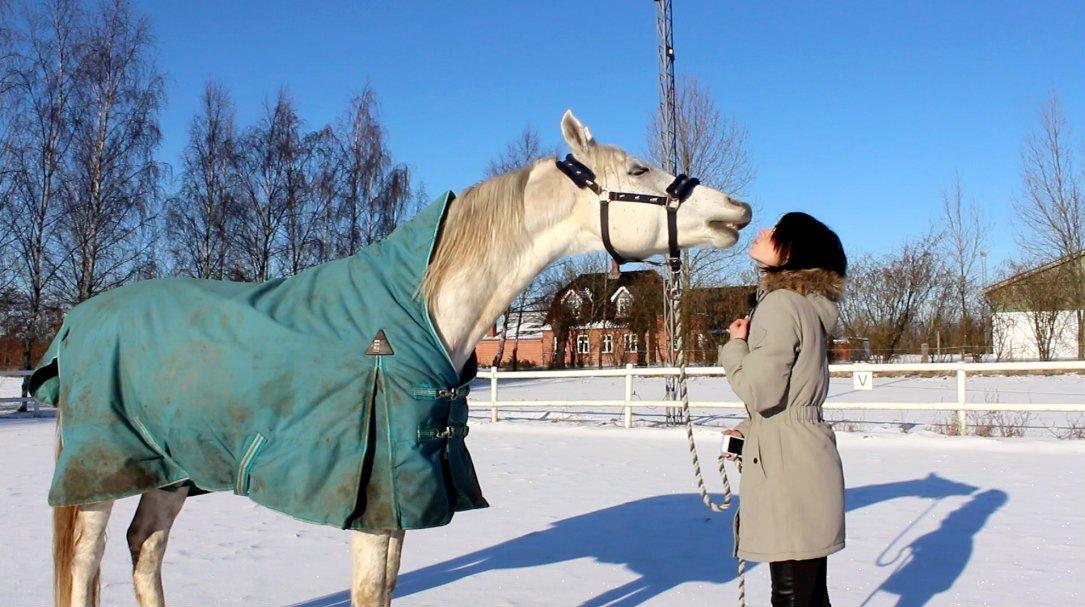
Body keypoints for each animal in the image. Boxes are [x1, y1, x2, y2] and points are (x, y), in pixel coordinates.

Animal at [55, 110, 750, 607]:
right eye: (637, 168)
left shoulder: (401, 504)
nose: (735, 211)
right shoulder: (378, 500)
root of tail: (75, 321)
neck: (421, 310)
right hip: (97, 478)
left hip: (170, 469)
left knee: (145, 549)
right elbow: (369, 592)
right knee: (85, 569)